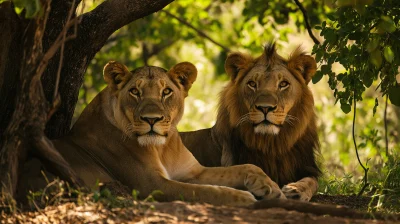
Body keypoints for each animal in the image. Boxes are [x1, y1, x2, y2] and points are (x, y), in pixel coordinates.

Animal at [53, 60, 284, 206]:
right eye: (134, 92)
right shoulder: (151, 185)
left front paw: (270, 186)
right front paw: (244, 198)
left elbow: (245, 167)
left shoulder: (194, 172)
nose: (151, 119)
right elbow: (205, 191)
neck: (162, 148)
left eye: (166, 92)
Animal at [181, 43, 322, 201]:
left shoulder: (306, 167)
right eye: (252, 84)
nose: (265, 108)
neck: (272, 144)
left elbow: (313, 181)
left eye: (283, 84)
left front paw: (295, 189)